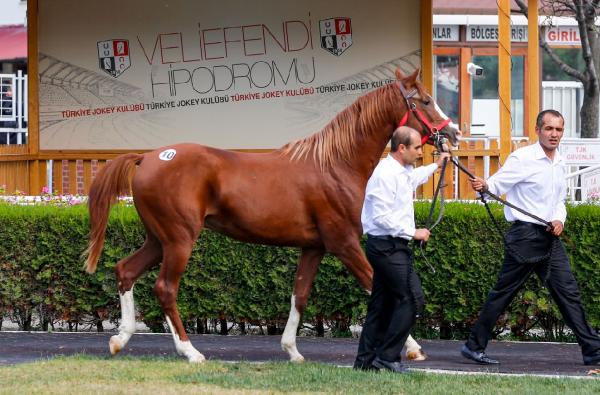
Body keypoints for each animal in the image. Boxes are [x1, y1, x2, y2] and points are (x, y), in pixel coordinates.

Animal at [84, 68, 460, 362]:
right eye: (425, 100)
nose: (452, 133)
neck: (335, 164)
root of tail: (147, 158)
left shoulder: (314, 247)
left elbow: (299, 295)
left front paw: (292, 350)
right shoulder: (345, 244)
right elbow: (375, 285)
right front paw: (413, 347)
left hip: (158, 239)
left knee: (125, 270)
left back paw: (119, 339)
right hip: (179, 240)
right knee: (165, 288)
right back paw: (190, 352)